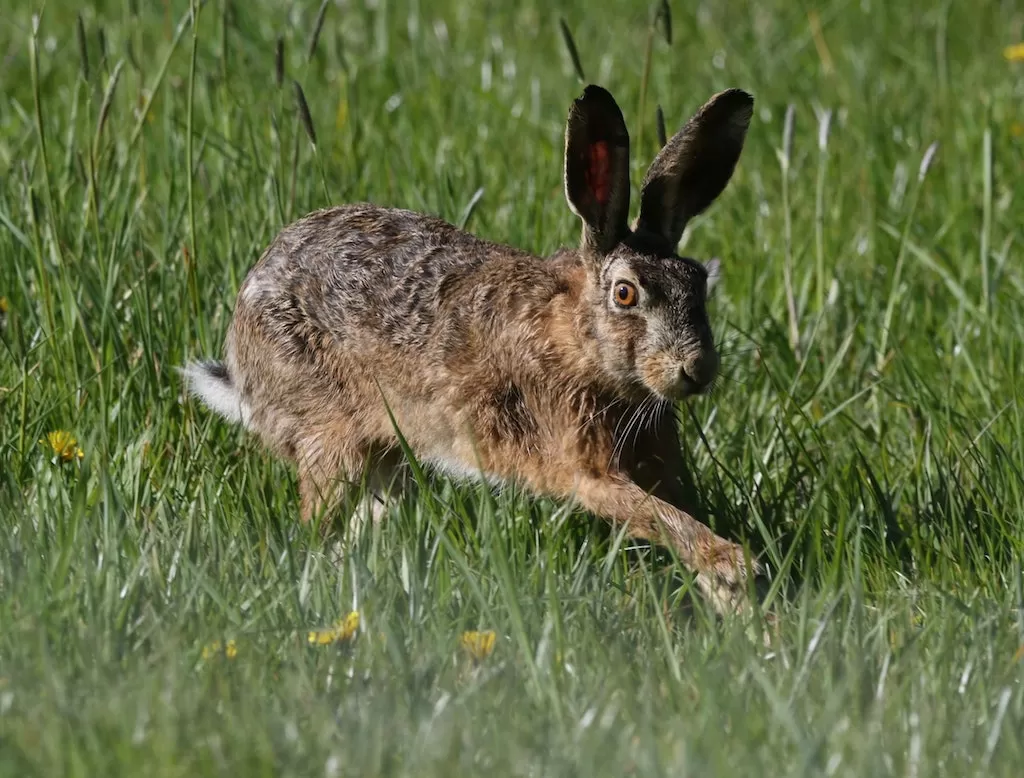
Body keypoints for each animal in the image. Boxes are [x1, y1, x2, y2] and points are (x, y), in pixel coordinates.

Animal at [183, 83, 763, 616]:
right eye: (625, 293)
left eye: (697, 283)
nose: (697, 369)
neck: (580, 340)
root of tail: (240, 356)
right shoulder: (585, 465)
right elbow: (660, 518)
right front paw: (734, 571)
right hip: (329, 441)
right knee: (318, 524)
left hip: (393, 453)